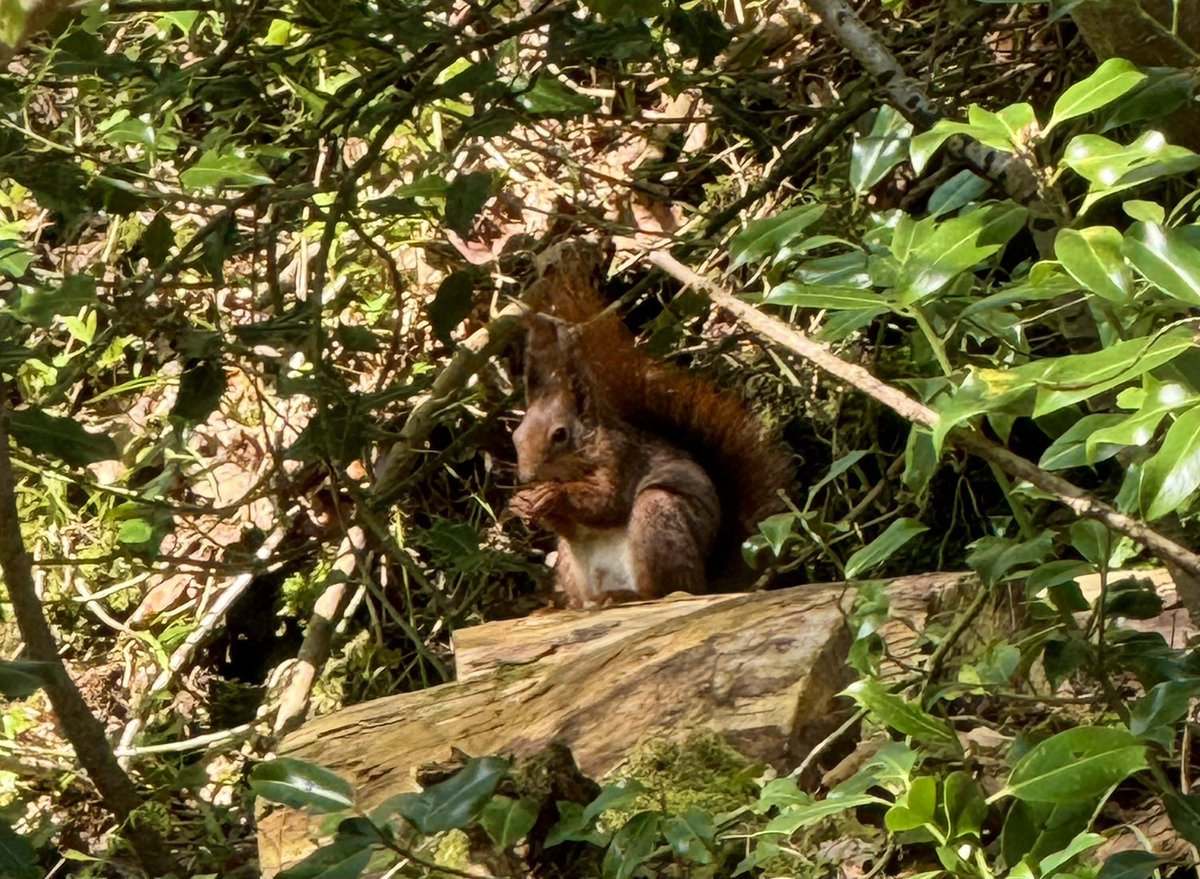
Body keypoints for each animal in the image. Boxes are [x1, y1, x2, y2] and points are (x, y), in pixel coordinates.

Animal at [511, 243, 792, 607]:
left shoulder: (621, 460)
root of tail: (707, 582)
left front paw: (552, 494)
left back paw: (625, 594)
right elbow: (570, 526)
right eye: (516, 436)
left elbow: (607, 503)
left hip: (657, 516)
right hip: (573, 567)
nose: (527, 476)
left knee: (663, 590)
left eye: (560, 434)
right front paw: (522, 504)